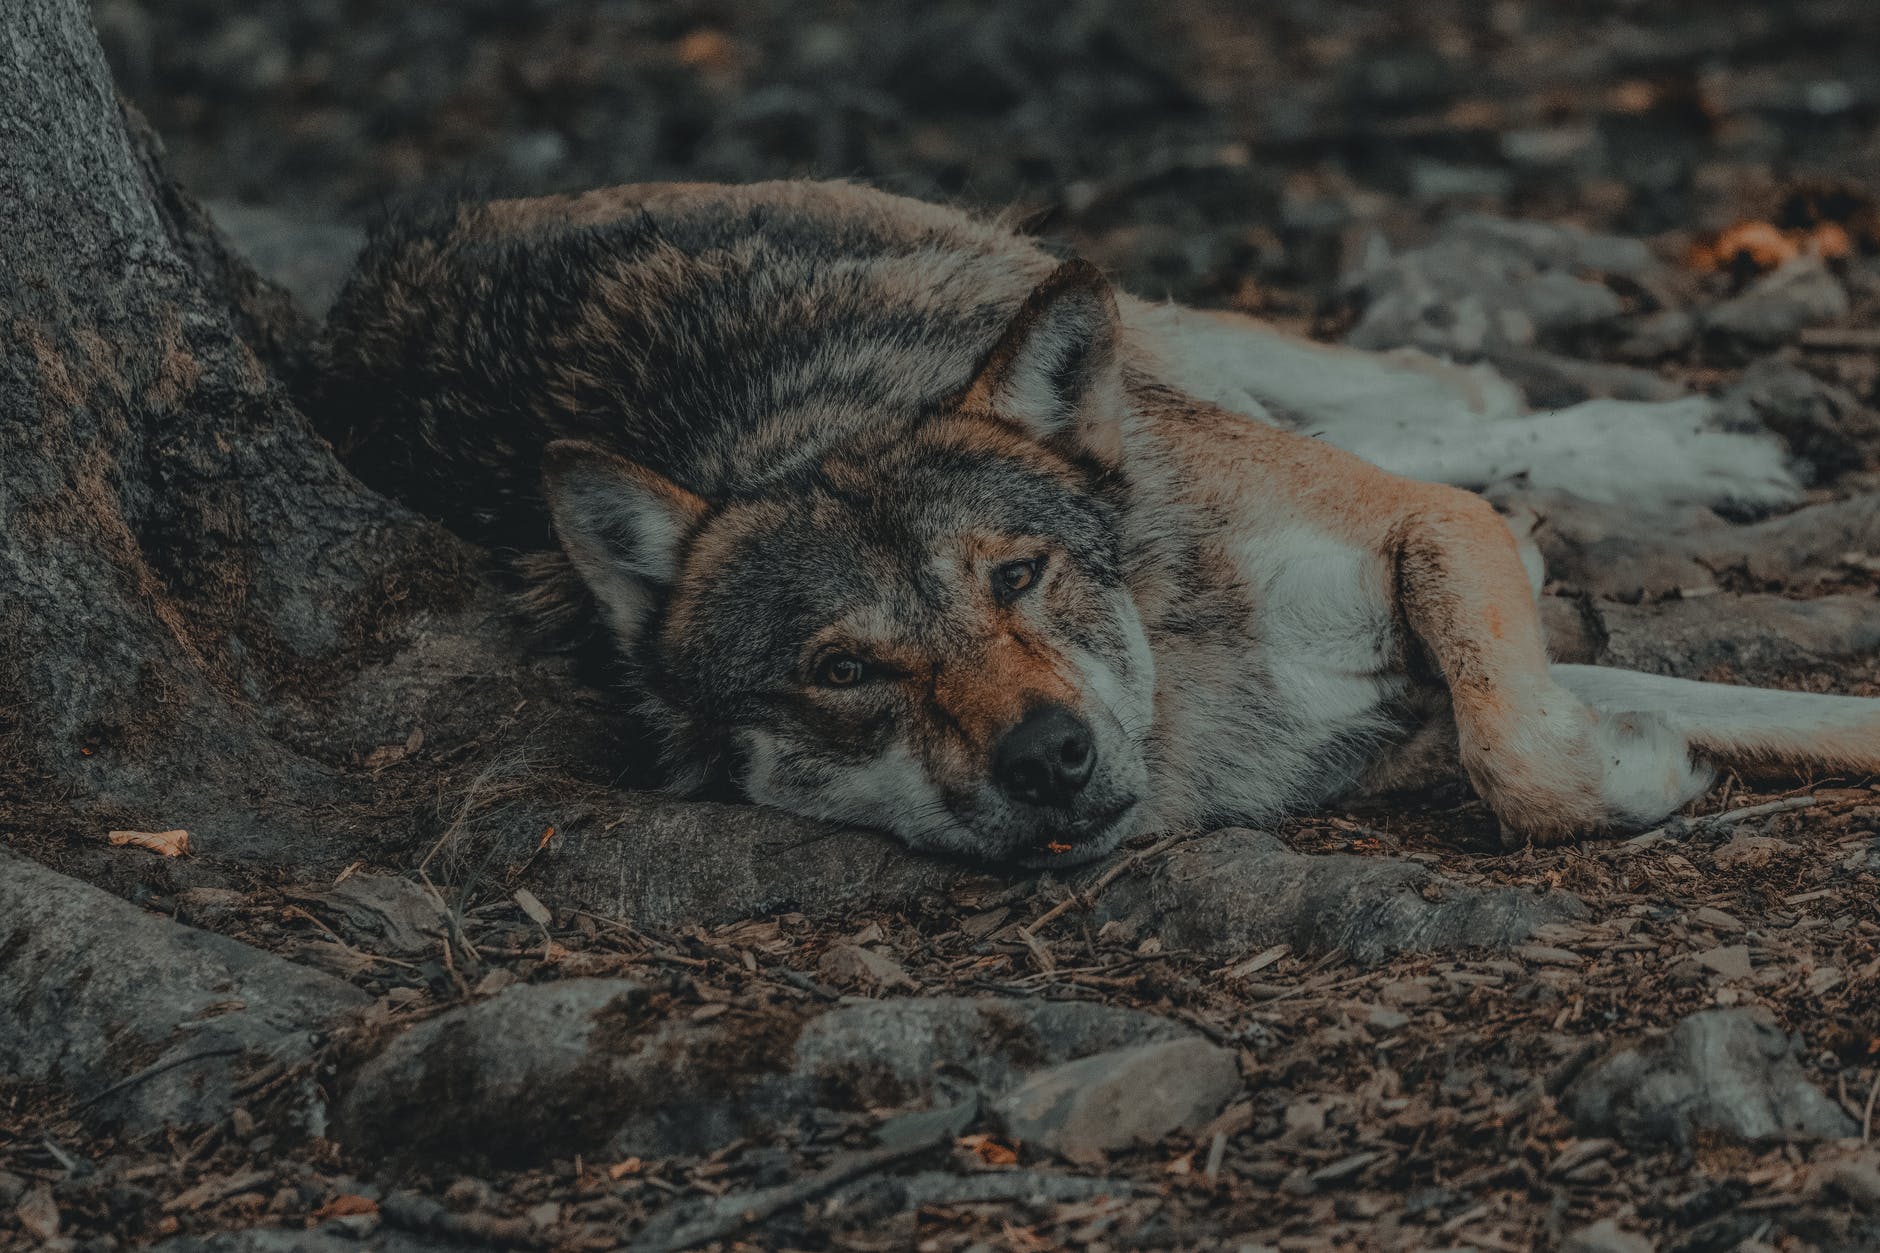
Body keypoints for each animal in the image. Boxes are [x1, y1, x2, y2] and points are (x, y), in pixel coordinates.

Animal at [320, 180, 1880, 865]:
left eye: (1017, 575)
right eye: (843, 671)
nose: (1048, 756)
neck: (1198, 668)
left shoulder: (1422, 533)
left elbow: (1524, 747)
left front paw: (1630, 760)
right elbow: (1576, 744)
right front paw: (1649, 752)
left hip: (1156, 325)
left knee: (1439, 393)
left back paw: (1686, 448)